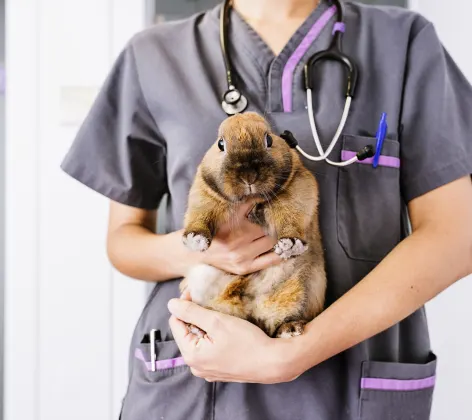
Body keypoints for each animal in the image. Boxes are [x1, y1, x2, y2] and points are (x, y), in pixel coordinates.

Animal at [179, 112, 326, 338]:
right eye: (221, 144)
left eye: (269, 140)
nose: (248, 175)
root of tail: (252, 305)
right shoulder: (203, 196)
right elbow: (199, 216)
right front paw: (196, 240)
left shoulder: (299, 190)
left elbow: (292, 218)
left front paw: (290, 245)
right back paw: (198, 328)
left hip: (309, 287)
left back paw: (290, 329)